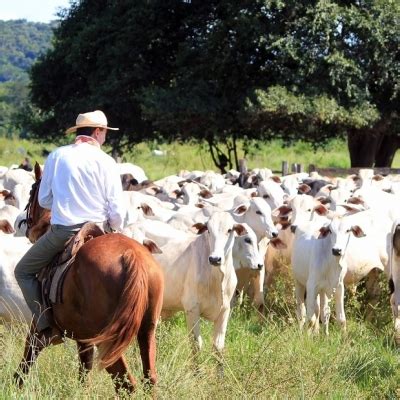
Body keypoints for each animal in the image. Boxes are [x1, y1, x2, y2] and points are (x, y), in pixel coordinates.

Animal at [14, 162, 164, 394]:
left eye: (31, 191)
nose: (26, 226)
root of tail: (132, 256)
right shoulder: (84, 340)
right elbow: (83, 374)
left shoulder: (37, 328)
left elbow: (25, 363)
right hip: (146, 331)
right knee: (149, 379)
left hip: (109, 340)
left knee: (126, 384)